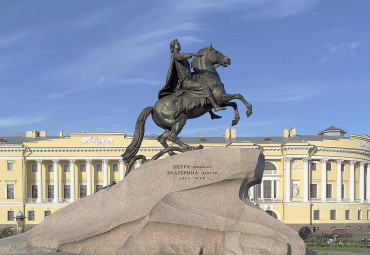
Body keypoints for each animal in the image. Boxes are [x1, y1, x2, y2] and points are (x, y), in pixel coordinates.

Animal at [123, 44, 253, 165]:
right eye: (216, 52)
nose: (228, 60)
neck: (209, 77)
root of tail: (153, 108)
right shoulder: (220, 98)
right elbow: (238, 96)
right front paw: (249, 110)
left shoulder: (221, 100)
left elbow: (234, 103)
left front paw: (235, 120)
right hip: (179, 121)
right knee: (171, 137)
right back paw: (189, 147)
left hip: (169, 126)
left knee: (162, 138)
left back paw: (172, 152)